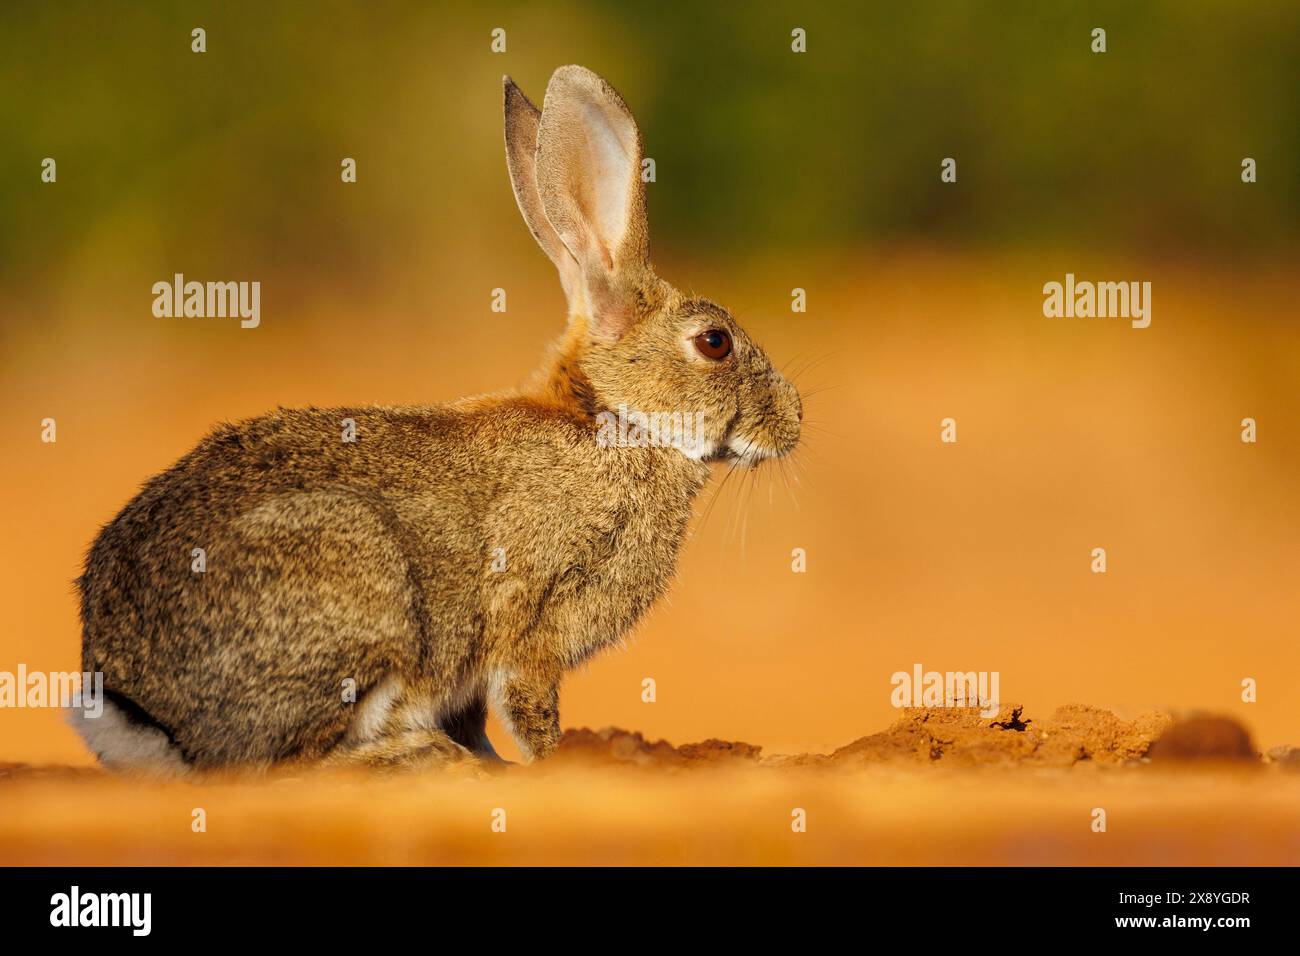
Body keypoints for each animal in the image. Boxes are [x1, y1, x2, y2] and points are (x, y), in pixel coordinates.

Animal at [70, 65, 802, 774]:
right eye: (715, 342)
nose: (794, 421)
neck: (616, 420)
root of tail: (140, 710)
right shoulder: (531, 619)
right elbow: (528, 705)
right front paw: (554, 763)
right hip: (363, 587)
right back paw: (422, 757)